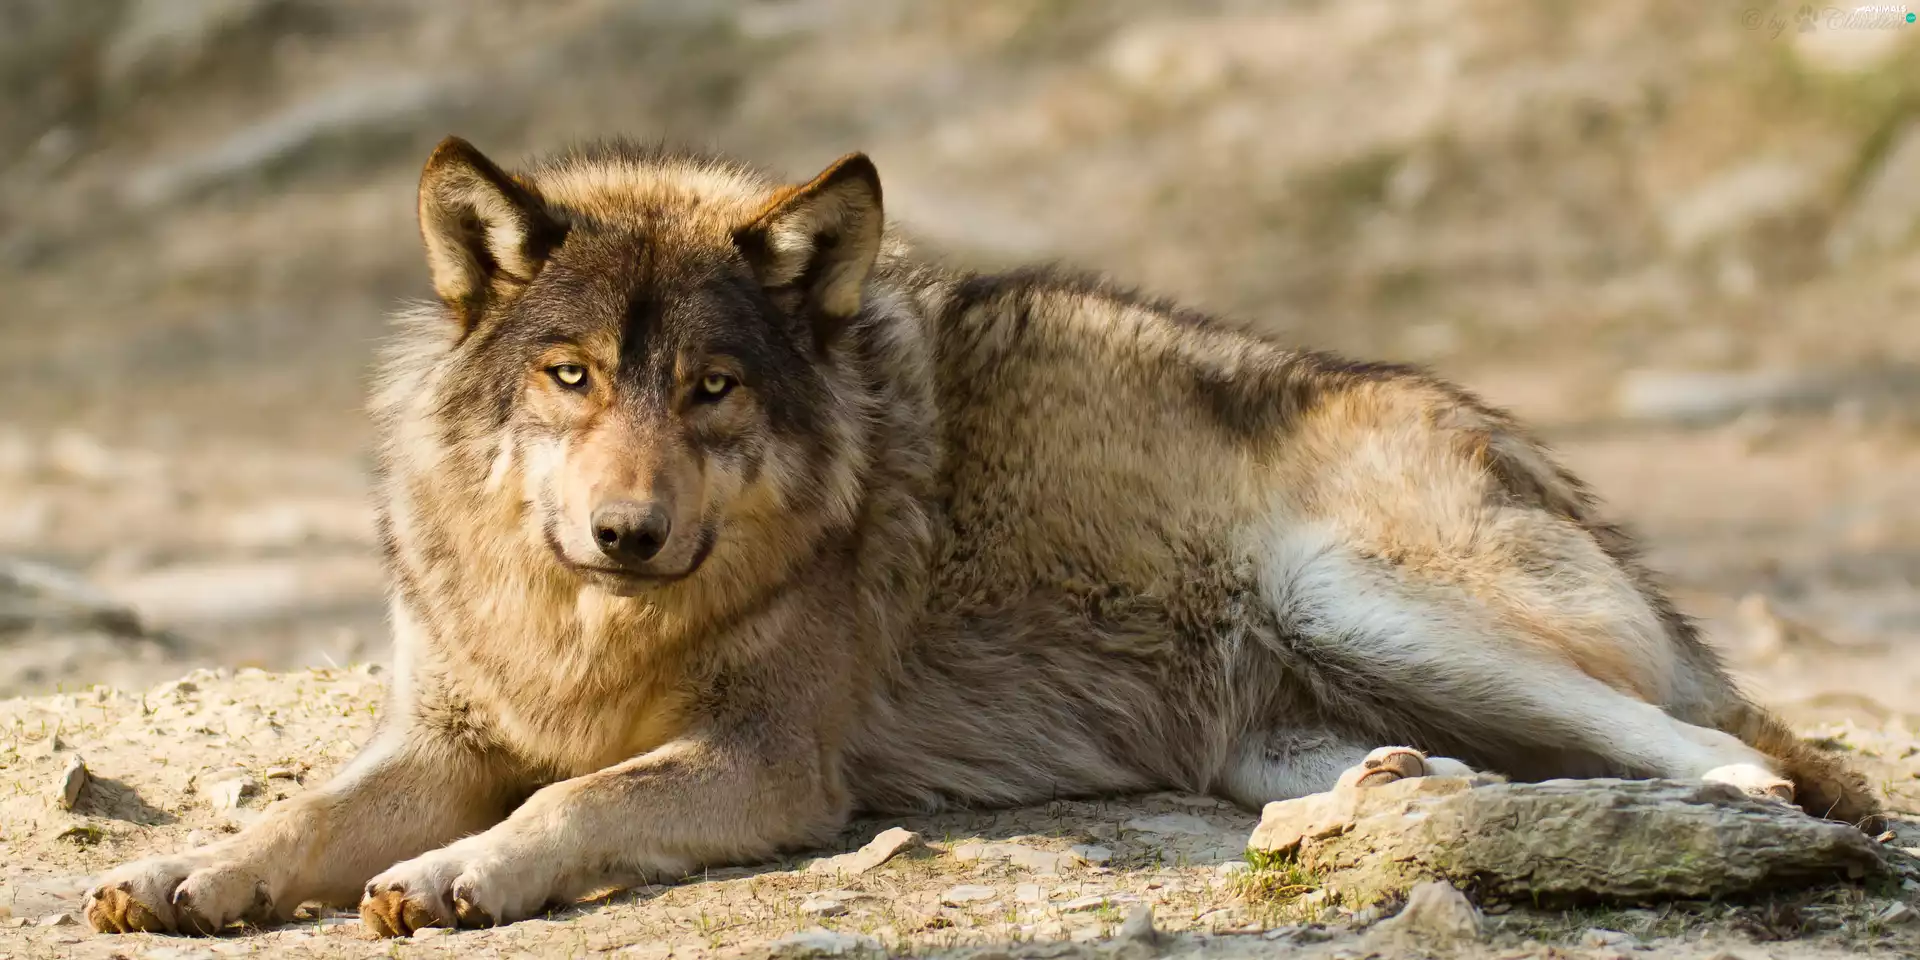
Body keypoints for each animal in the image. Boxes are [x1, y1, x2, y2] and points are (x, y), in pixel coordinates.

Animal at [87, 137, 1878, 937]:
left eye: (714, 388)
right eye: (571, 375)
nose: (627, 529)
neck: (586, 628)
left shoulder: (767, 767)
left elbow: (573, 803)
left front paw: (455, 873)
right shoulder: (444, 730)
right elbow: (309, 814)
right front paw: (189, 874)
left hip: (1361, 598)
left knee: (1738, 748)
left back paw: (1723, 802)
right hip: (1270, 723)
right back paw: (1392, 792)